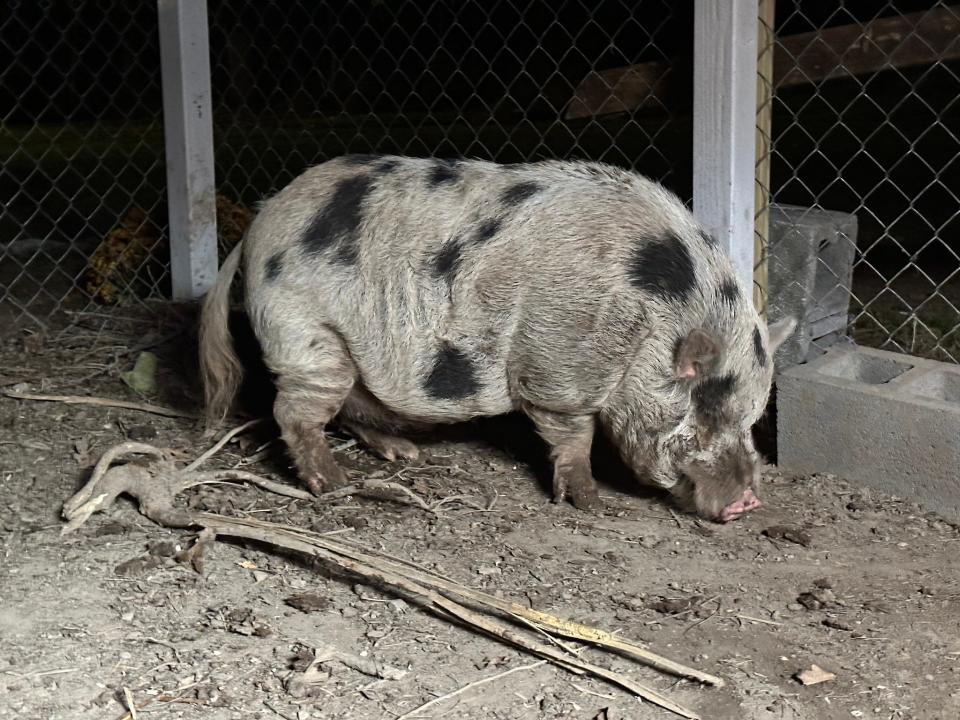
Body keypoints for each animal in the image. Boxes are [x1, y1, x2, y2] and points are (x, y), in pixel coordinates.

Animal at [199, 155, 792, 520]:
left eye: (752, 418)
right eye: (701, 415)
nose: (747, 503)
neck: (647, 326)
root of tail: (255, 229)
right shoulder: (558, 370)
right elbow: (574, 435)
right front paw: (593, 503)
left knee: (350, 404)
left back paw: (403, 453)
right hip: (306, 331)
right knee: (294, 410)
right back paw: (334, 483)